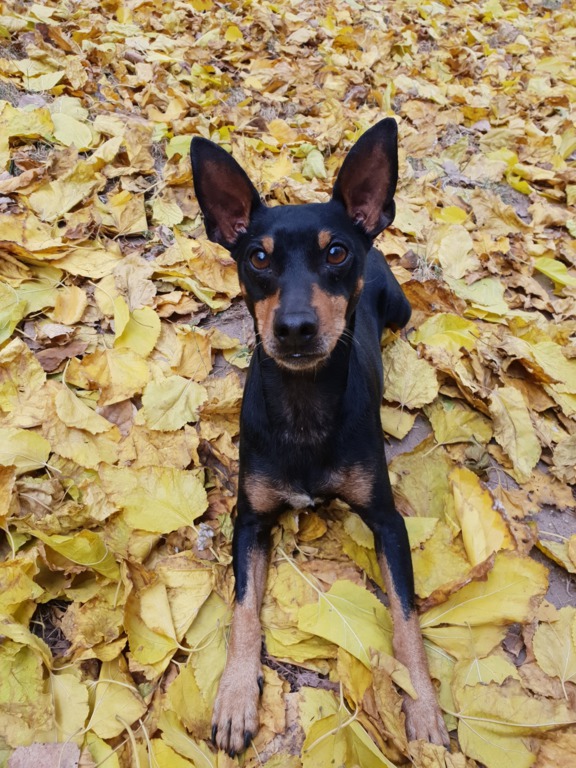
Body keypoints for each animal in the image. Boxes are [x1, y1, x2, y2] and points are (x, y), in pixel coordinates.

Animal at [191, 119, 449, 756]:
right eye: (257, 256)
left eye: (336, 252)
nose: (295, 328)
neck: (304, 404)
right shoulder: (249, 520)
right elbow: (242, 610)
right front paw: (236, 697)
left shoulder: (388, 522)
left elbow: (406, 620)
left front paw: (423, 708)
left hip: (401, 310)